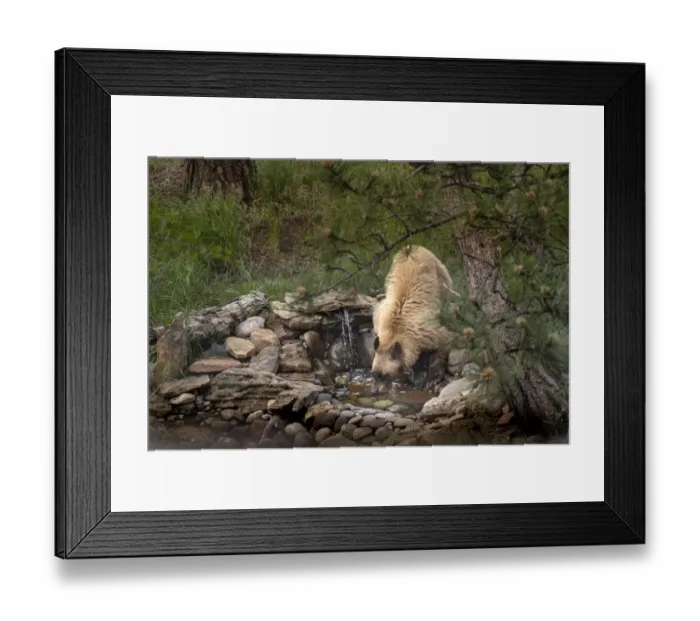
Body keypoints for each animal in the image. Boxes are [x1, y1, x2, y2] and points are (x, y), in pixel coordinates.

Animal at [371, 244, 456, 386]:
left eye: (384, 375)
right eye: (375, 373)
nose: (376, 383)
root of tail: (414, 246)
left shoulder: (424, 331)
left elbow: (446, 339)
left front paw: (434, 376)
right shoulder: (380, 317)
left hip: (440, 273)